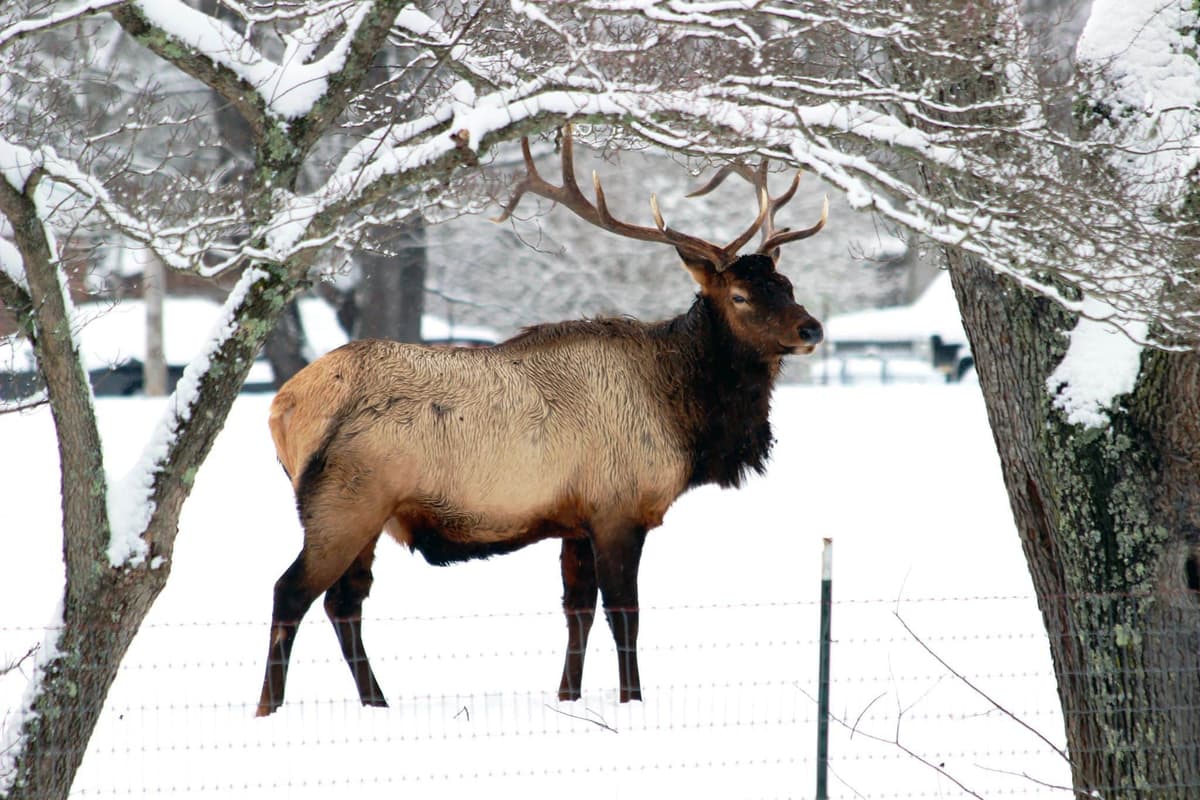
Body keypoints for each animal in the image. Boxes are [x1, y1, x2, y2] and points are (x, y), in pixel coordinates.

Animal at [255, 126, 828, 716]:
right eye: (739, 296)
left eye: (787, 284)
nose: (811, 329)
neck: (684, 420)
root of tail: (282, 406)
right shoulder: (619, 507)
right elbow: (625, 617)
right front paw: (631, 701)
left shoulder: (574, 519)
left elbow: (577, 613)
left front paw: (567, 698)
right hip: (344, 502)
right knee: (291, 592)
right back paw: (269, 709)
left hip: (364, 512)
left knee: (344, 603)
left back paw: (377, 704)